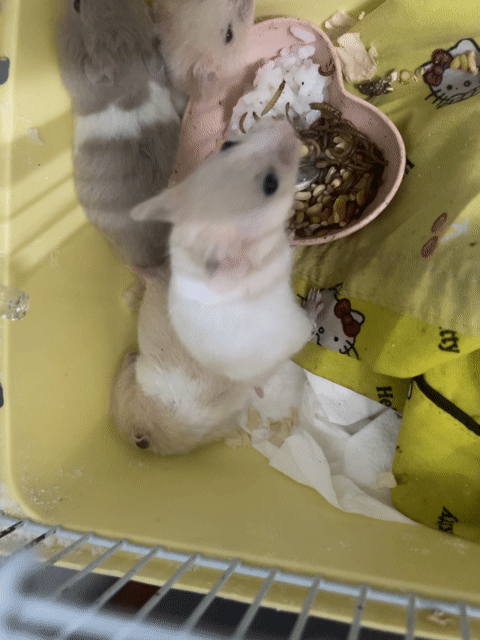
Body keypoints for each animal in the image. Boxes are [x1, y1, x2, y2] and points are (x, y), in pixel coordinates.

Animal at [131, 118, 313, 383]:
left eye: (227, 144)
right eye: (270, 184)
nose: (286, 125)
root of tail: (256, 380)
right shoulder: (275, 257)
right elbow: (284, 252)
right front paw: (291, 236)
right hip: (298, 326)